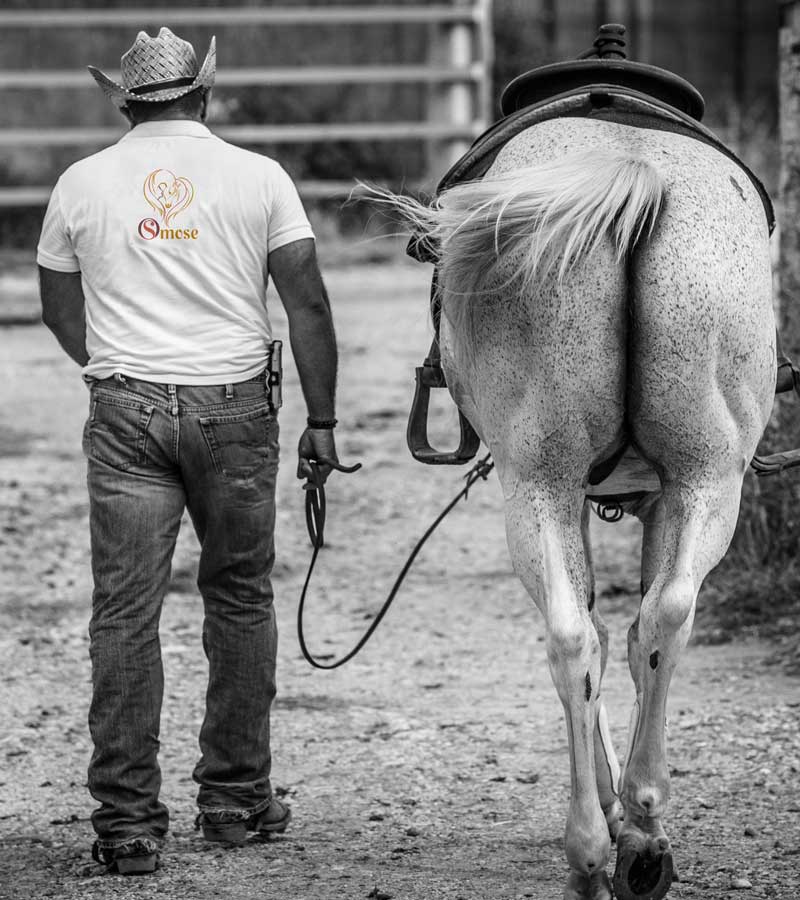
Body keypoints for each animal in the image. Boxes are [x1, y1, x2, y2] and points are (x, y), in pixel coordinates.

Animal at [378, 113, 775, 900]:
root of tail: (633, 168)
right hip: (692, 481)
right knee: (643, 624)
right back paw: (631, 830)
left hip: (551, 486)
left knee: (589, 633)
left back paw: (606, 841)